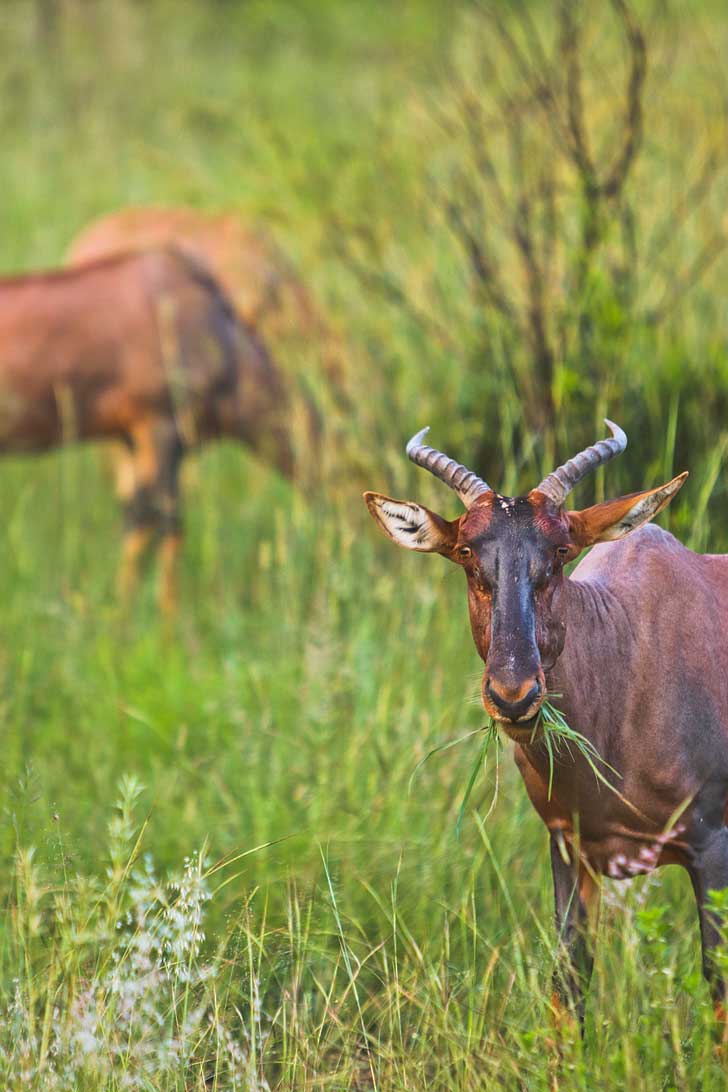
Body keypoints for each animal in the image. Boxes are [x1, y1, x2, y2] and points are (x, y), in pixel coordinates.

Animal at [364, 421, 728, 1026]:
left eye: (560, 550)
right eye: (466, 550)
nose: (513, 695)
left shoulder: (711, 845)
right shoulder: (568, 847)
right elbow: (568, 985)